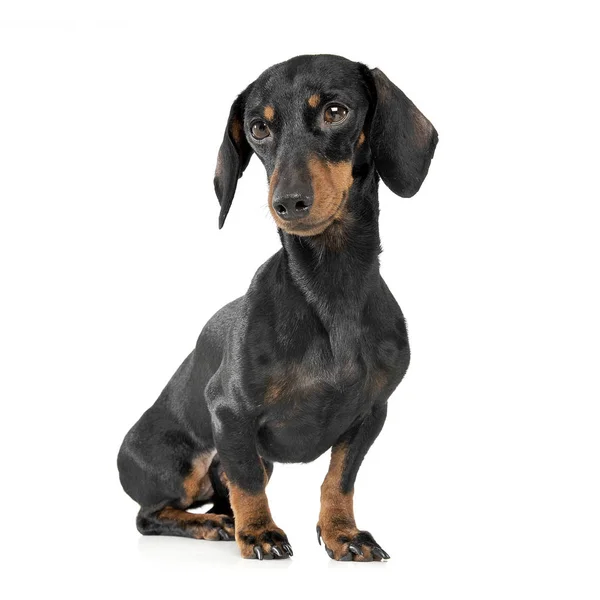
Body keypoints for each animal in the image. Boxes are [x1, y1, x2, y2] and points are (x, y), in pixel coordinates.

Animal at [116, 54, 436, 560]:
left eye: (336, 111)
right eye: (258, 128)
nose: (288, 202)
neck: (331, 289)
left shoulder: (370, 414)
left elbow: (339, 480)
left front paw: (343, 534)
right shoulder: (228, 411)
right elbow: (247, 484)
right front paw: (260, 534)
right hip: (186, 464)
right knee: (151, 515)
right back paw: (214, 526)